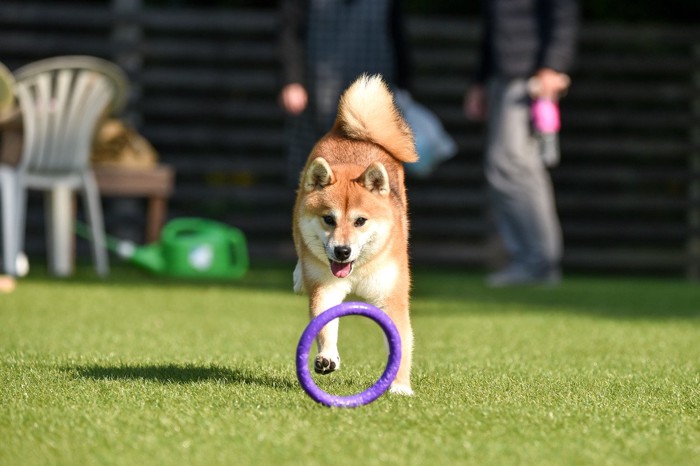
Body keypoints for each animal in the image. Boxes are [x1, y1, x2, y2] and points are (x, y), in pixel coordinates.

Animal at [292, 74, 418, 396]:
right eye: (328, 219)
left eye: (360, 221)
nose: (342, 251)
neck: (358, 269)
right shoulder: (325, 288)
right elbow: (325, 325)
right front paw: (326, 358)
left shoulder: (391, 296)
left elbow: (401, 341)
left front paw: (399, 387)